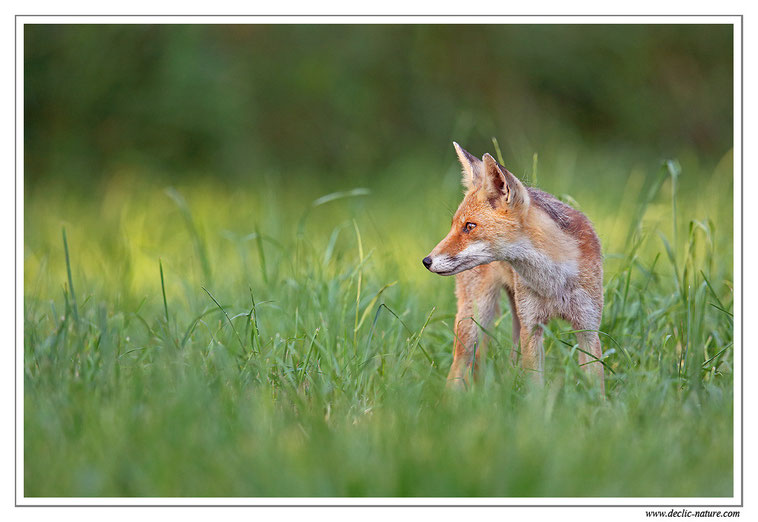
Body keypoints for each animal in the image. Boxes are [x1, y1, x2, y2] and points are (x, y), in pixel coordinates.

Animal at [422, 141, 604, 390]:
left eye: (469, 226)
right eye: (453, 226)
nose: (426, 261)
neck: (553, 282)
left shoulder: (588, 327)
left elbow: (595, 386)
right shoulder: (532, 327)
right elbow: (535, 385)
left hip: (516, 321)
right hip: (475, 319)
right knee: (458, 369)